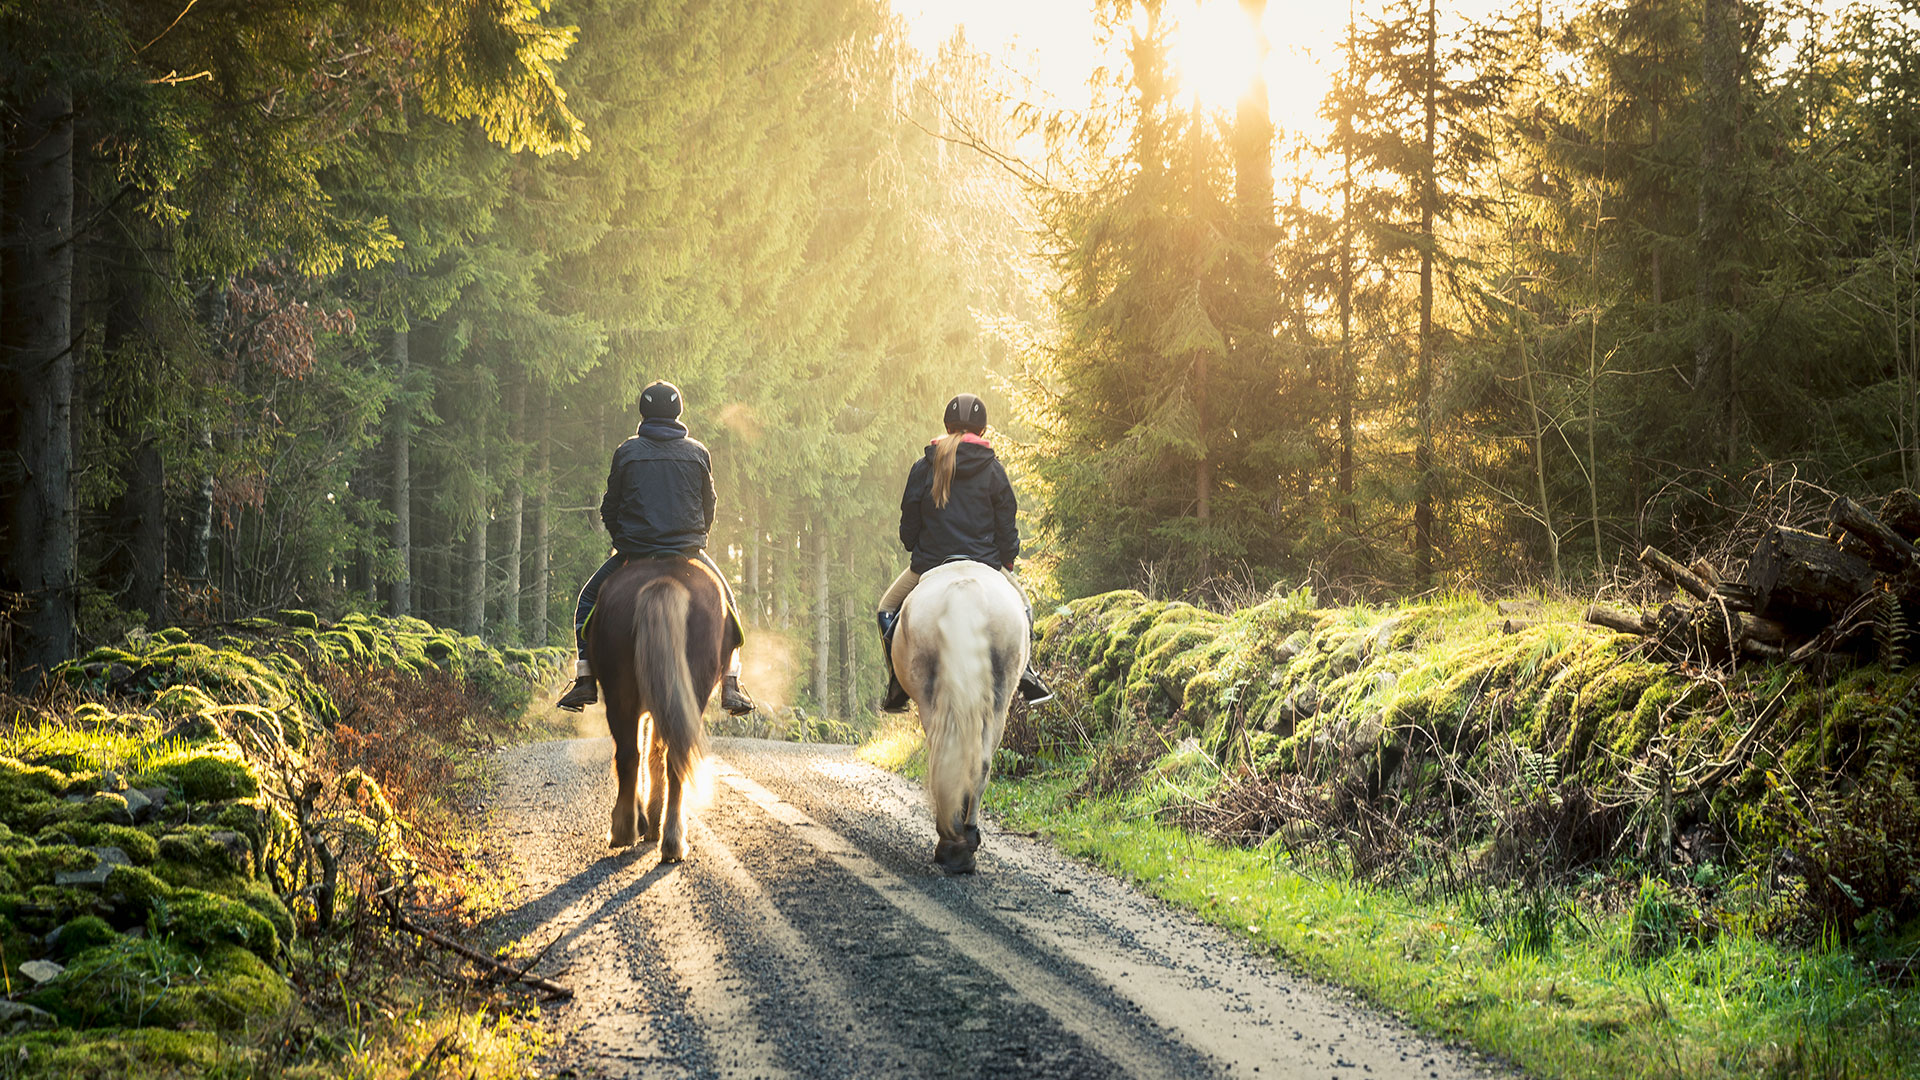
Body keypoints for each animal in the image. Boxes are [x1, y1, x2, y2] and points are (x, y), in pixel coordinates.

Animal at [585, 556, 730, 863]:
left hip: (622, 694)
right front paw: (651, 821)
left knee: (632, 755)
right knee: (663, 757)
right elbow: (654, 753)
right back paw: (667, 839)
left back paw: (632, 831)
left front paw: (649, 820)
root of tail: (664, 582)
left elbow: (651, 752)